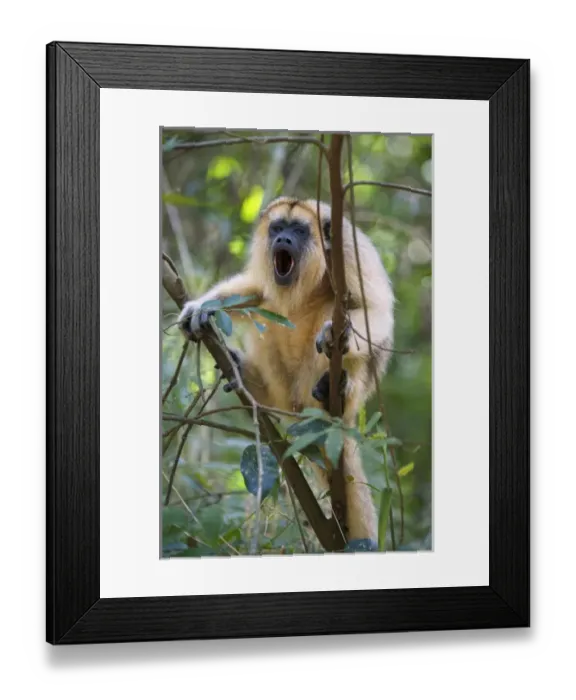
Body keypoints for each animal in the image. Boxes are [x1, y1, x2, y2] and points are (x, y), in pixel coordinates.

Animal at [178, 196, 395, 547]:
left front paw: (337, 335)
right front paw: (202, 307)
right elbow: (257, 289)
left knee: (333, 315)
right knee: (269, 310)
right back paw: (247, 378)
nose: (283, 239)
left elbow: (374, 311)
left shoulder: (350, 251)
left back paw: (334, 391)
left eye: (299, 231)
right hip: (283, 390)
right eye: (278, 228)